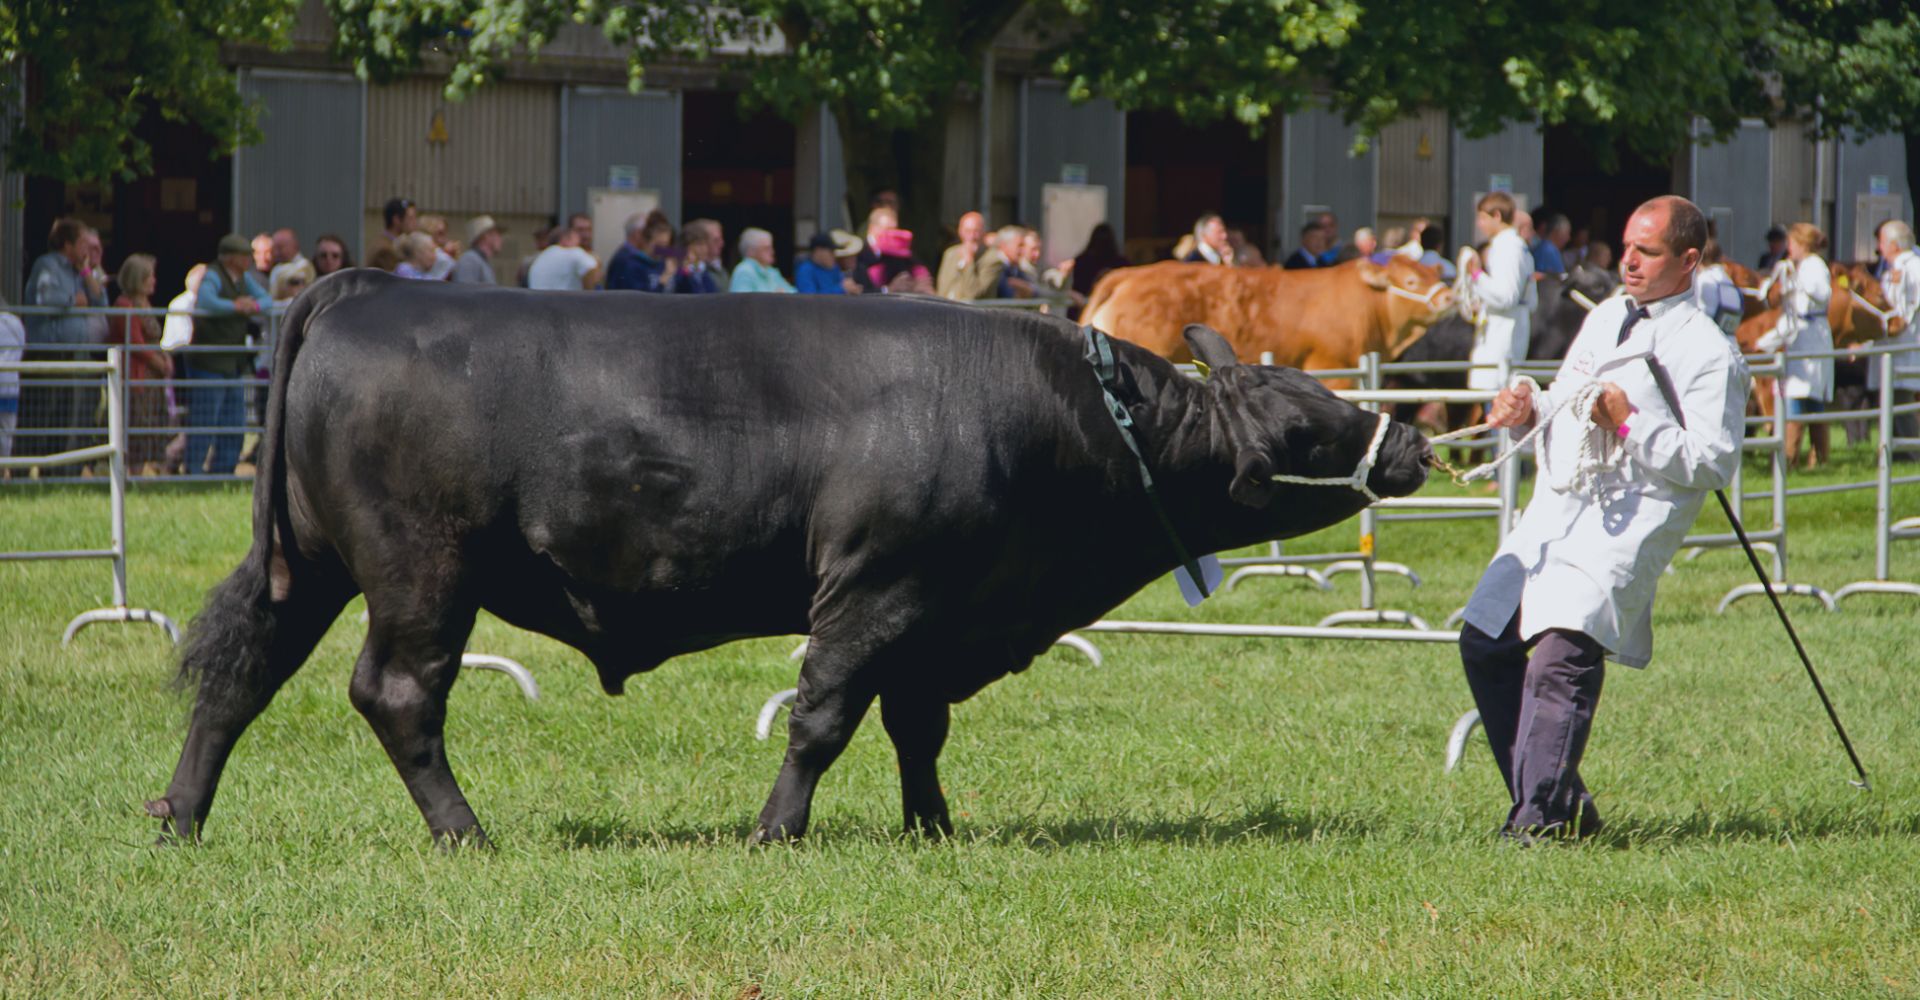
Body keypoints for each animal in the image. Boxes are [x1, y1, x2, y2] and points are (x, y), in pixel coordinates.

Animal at [149, 270, 1436, 840]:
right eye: (1312, 430)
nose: (1418, 439)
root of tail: (366, 285)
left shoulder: (939, 609)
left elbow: (918, 724)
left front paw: (934, 828)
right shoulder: (876, 589)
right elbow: (825, 715)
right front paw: (777, 830)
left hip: (309, 564)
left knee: (237, 674)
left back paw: (179, 812)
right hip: (422, 569)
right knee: (398, 694)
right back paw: (465, 831)